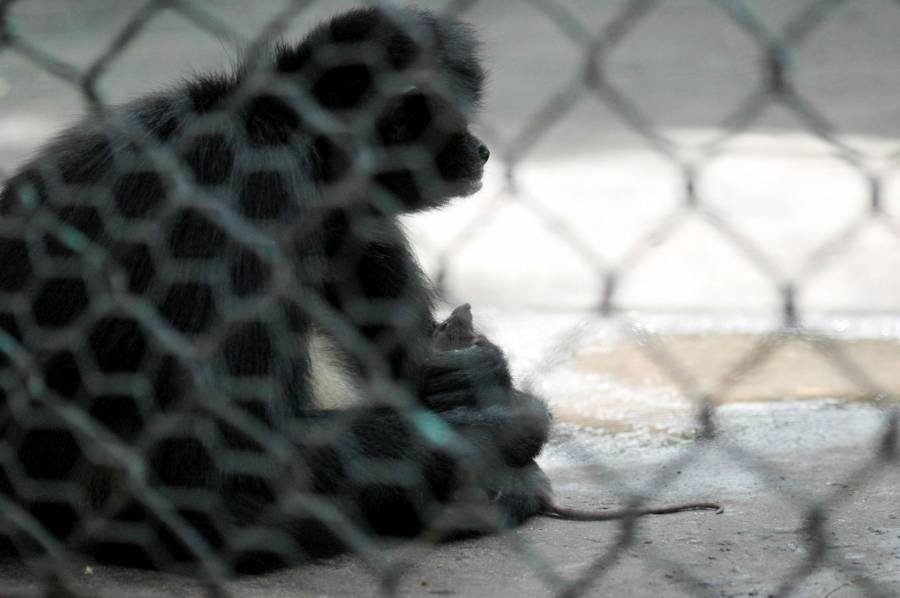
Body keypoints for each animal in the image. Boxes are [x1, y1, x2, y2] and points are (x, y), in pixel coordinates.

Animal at [0, 7, 556, 573]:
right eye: (454, 120)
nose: (480, 150)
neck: (280, 124)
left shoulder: (342, 208)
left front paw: (477, 377)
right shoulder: (248, 185)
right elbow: (213, 463)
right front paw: (507, 423)